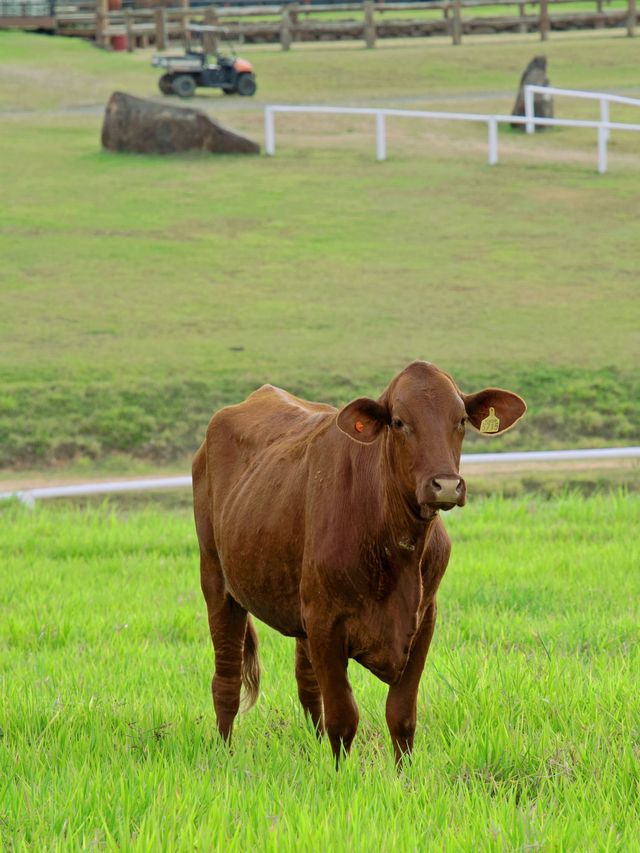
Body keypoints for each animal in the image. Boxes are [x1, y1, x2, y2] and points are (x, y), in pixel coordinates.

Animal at [191, 360, 524, 764]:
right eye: (398, 421)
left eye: (460, 419)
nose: (445, 485)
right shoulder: (326, 623)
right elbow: (343, 717)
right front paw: (340, 774)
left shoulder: (423, 619)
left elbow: (401, 715)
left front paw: (402, 775)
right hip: (217, 582)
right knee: (226, 680)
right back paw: (225, 755)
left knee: (306, 684)